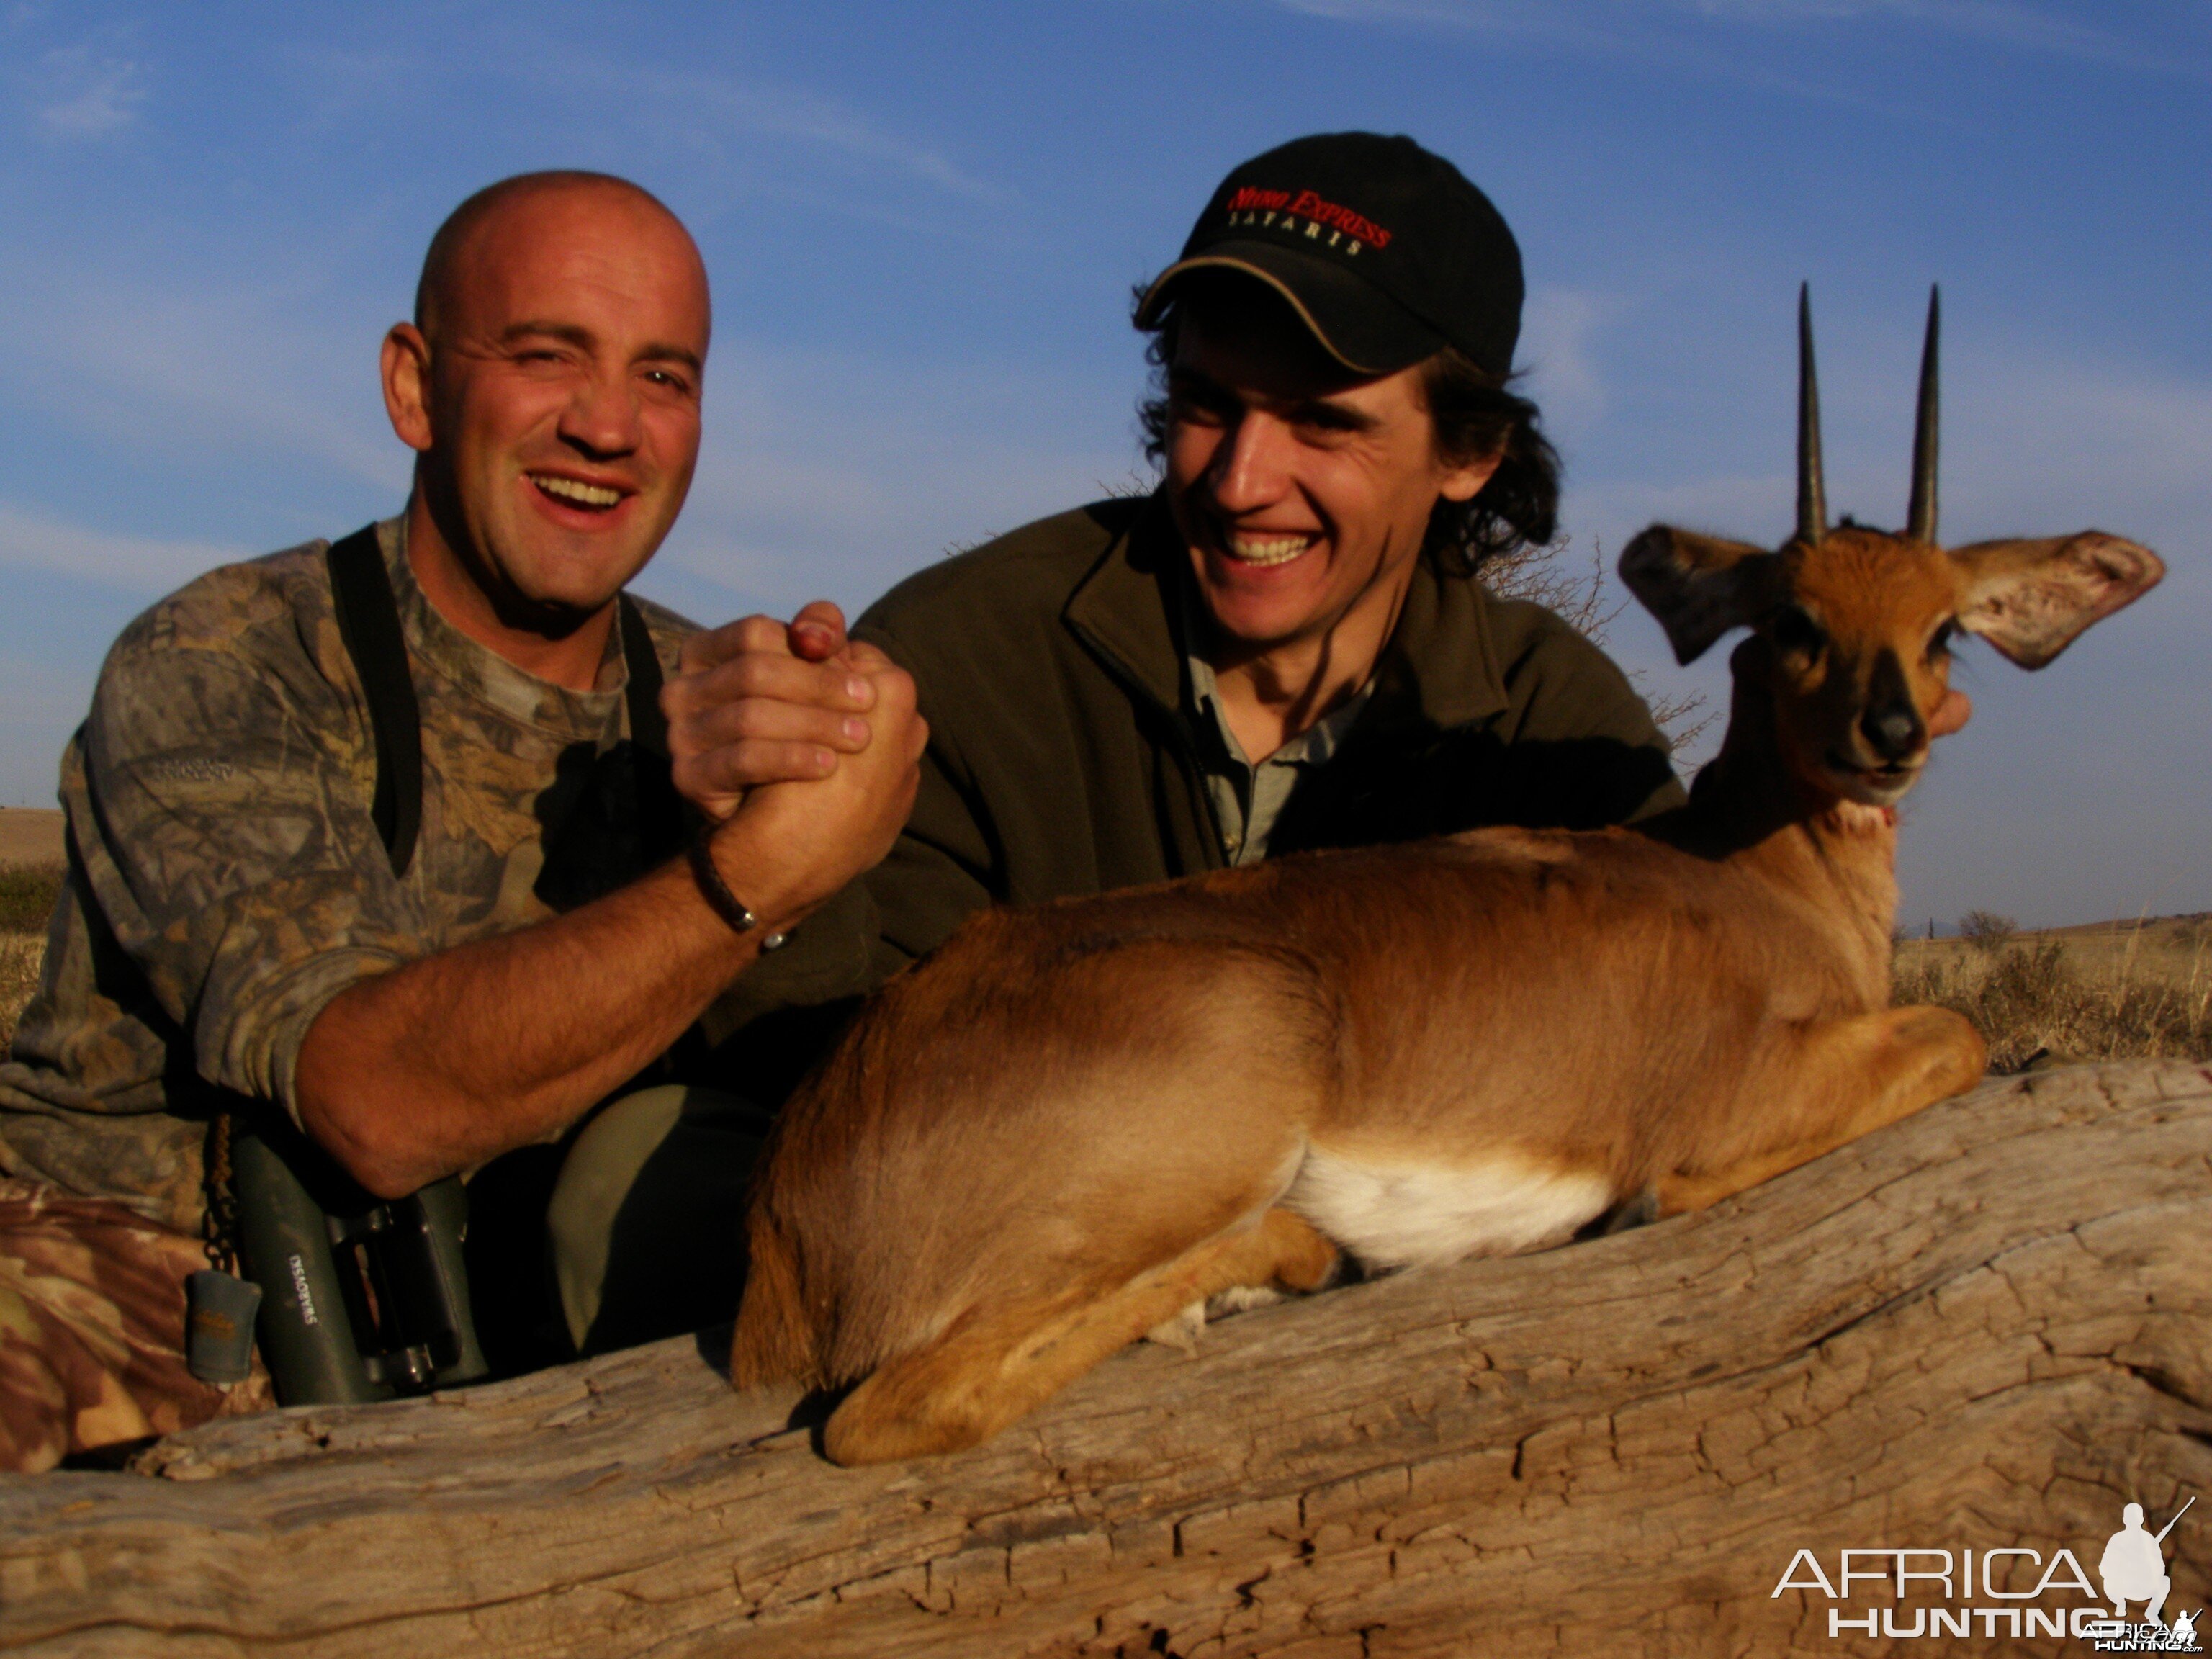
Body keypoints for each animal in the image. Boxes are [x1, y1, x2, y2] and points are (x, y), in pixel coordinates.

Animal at [725, 289, 2159, 1468]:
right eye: (1795, 619)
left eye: (1945, 628)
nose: (1889, 735)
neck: (1758, 880)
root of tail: (790, 1216)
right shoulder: (1735, 1097)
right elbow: (1954, 1034)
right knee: (892, 1412)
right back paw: (1289, 1261)